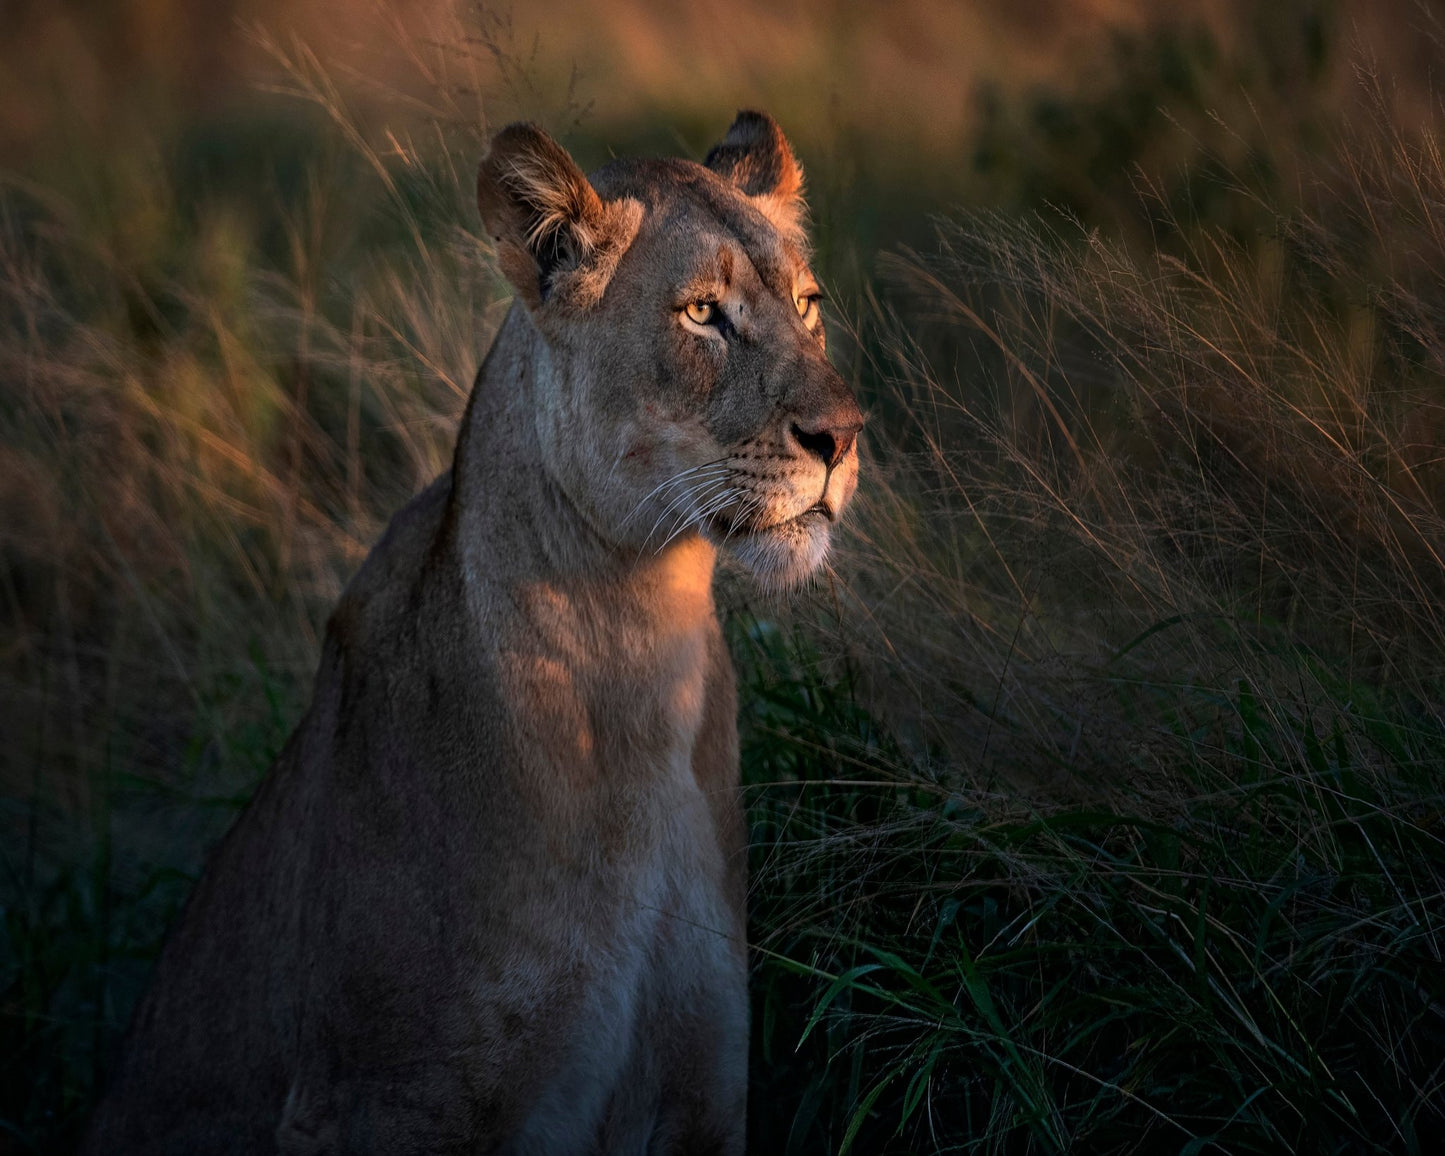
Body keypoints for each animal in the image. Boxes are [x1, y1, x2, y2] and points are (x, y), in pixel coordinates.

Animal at [81, 109, 863, 1155]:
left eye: (808, 305)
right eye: (702, 313)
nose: (844, 436)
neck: (642, 638)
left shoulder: (704, 1088)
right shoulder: (390, 1105)